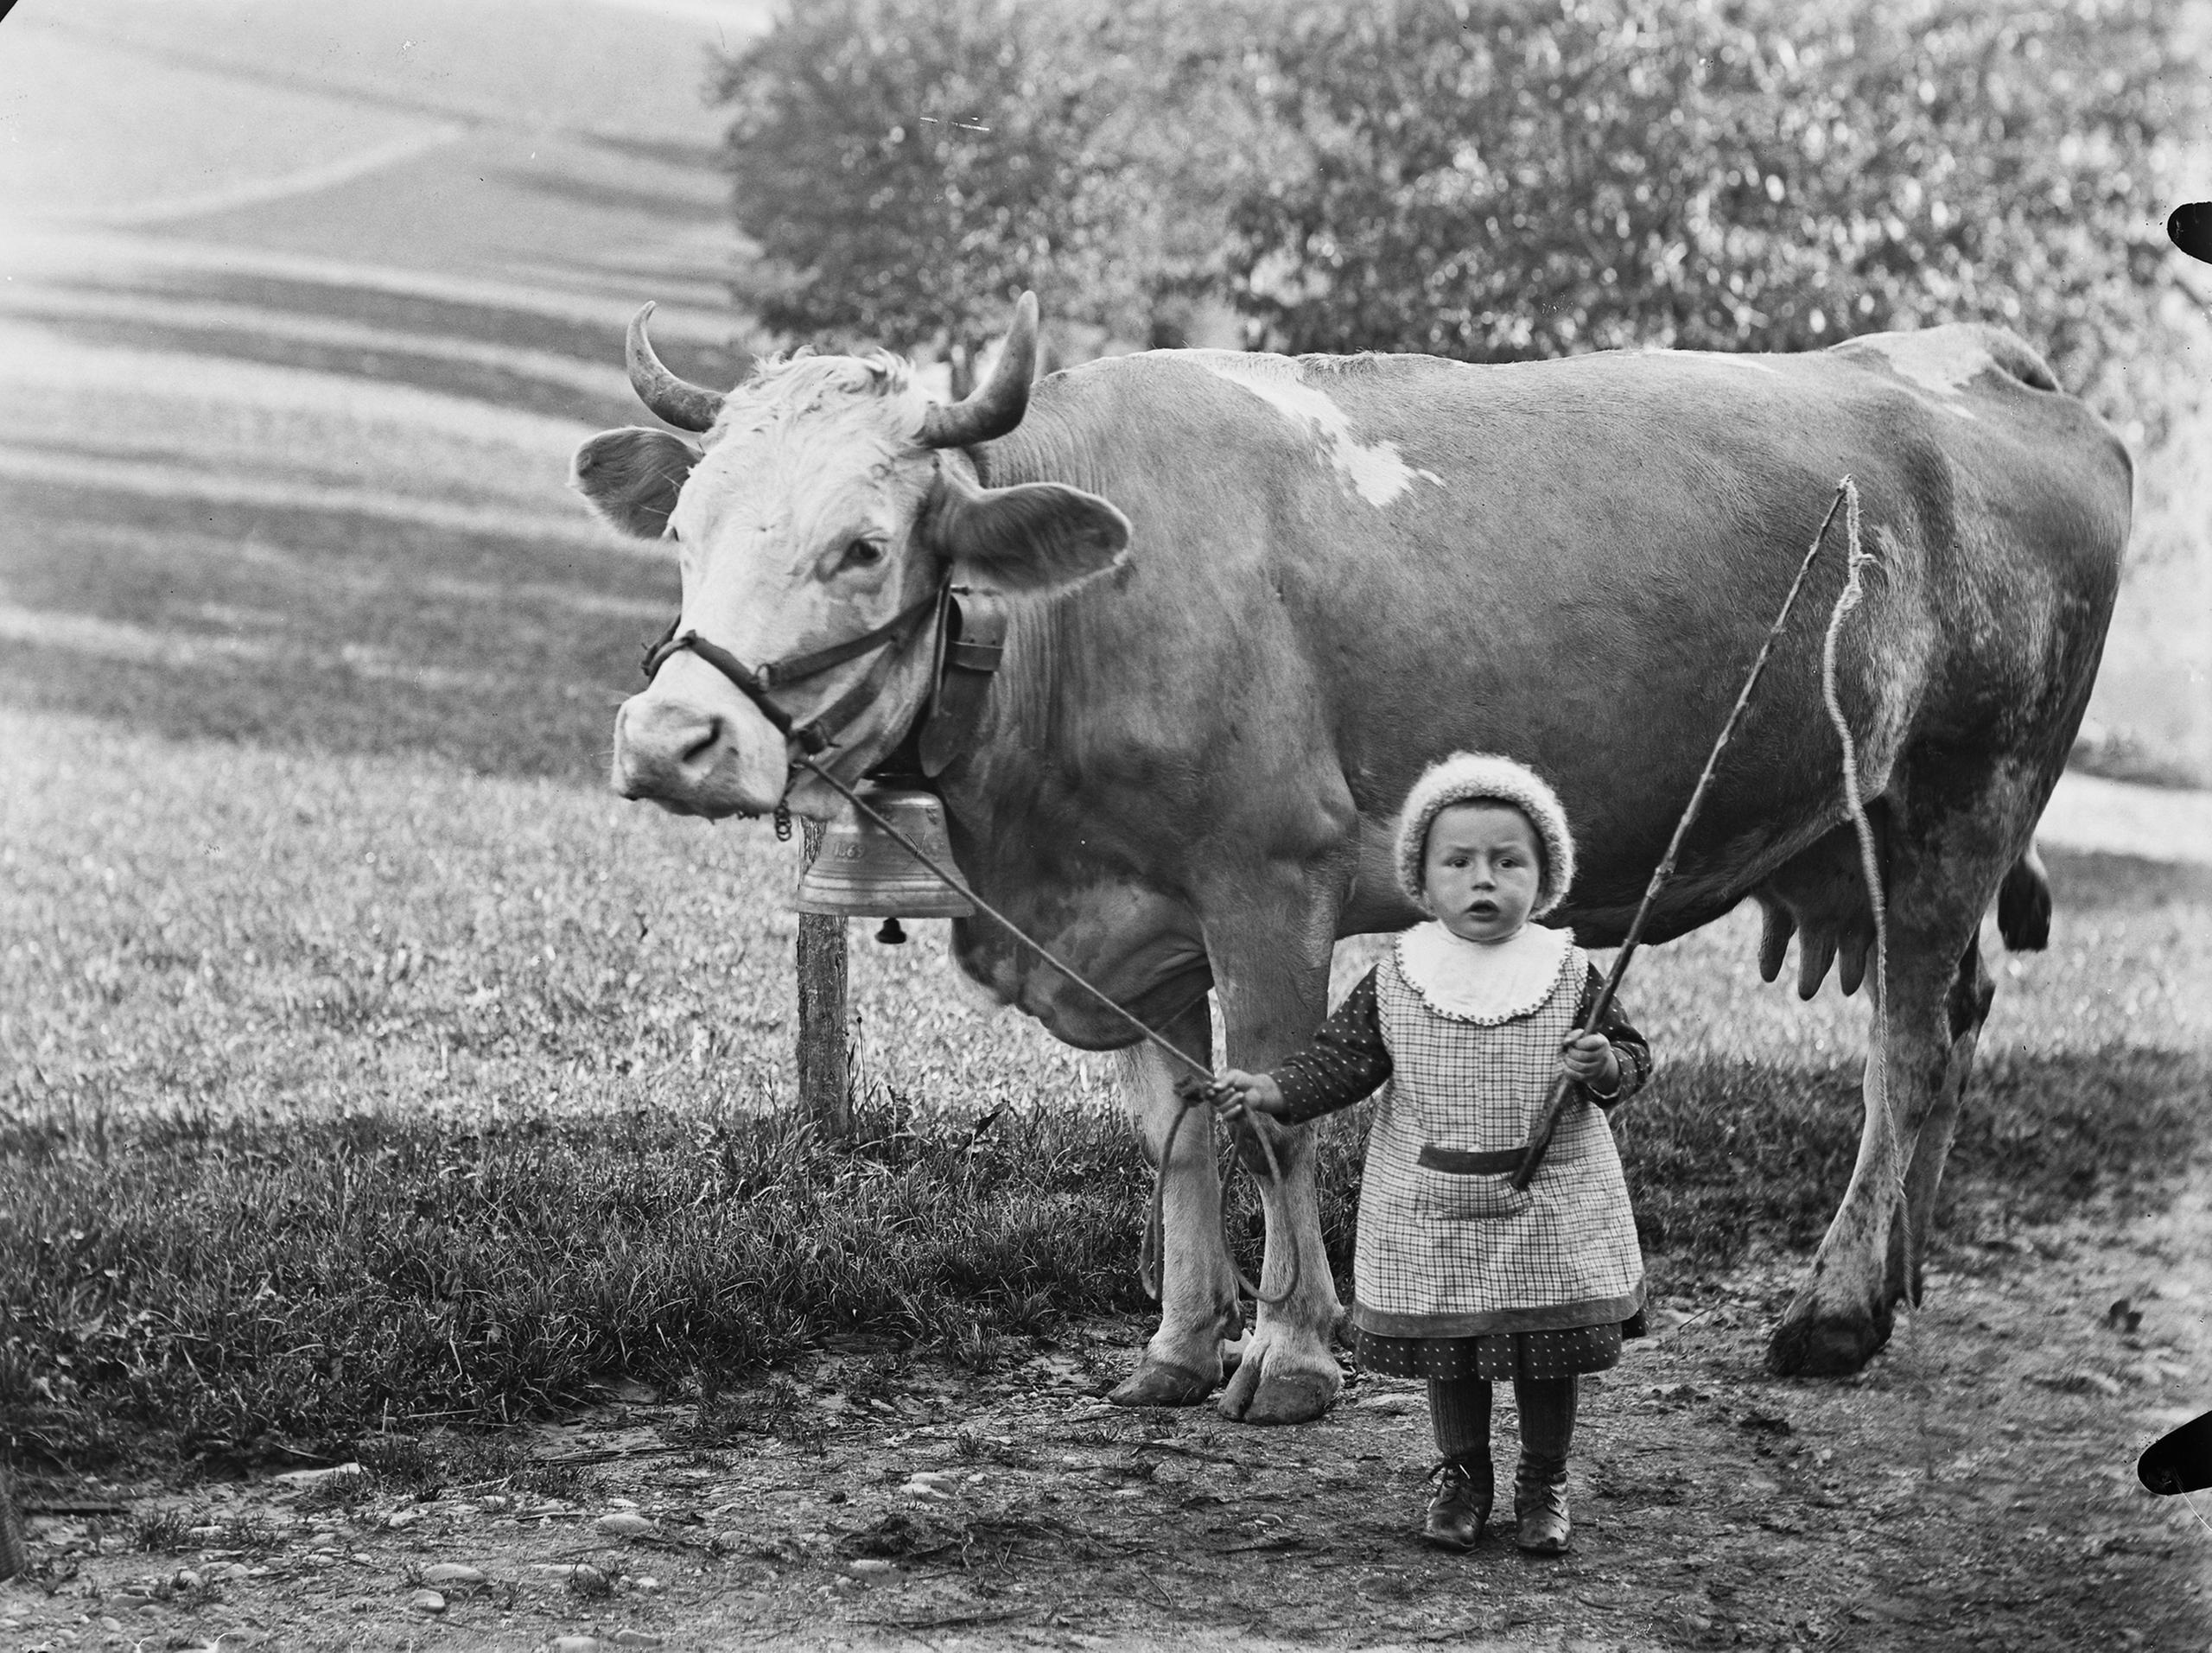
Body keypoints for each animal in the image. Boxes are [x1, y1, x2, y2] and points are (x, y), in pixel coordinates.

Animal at [570, 294, 2123, 1425]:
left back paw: (1837, 1310)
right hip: (1878, 835)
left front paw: (1293, 1354)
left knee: (1905, 1052)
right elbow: (1180, 1121)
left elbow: (1269, 1114)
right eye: (685, 528)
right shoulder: (1138, 921)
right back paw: (1901, 1279)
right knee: (1952, 1025)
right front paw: (1180, 1341)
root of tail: (1966, 361)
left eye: (862, 544)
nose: (671, 737)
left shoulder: (1270, 883)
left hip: (1964, 796)